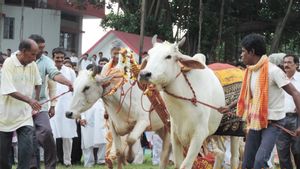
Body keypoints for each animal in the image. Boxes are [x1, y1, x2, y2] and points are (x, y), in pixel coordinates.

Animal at [139, 36, 238, 169]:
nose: (144, 74)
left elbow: (186, 165)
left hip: (235, 134)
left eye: (169, 56)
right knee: (221, 152)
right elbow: (178, 164)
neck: (184, 104)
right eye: (149, 54)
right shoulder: (175, 136)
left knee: (234, 158)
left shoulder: (198, 136)